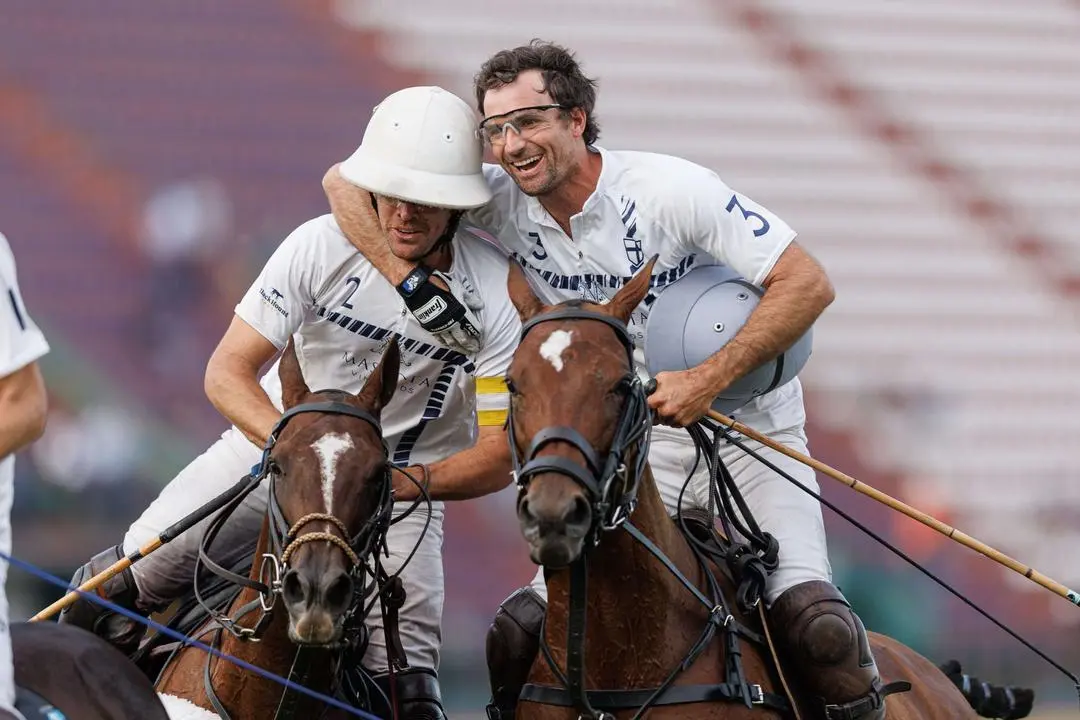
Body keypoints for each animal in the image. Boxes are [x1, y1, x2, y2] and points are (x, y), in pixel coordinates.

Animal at [501, 262, 984, 720]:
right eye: (512, 382)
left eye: (621, 384)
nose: (554, 515)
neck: (617, 664)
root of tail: (942, 680)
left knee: (826, 627)